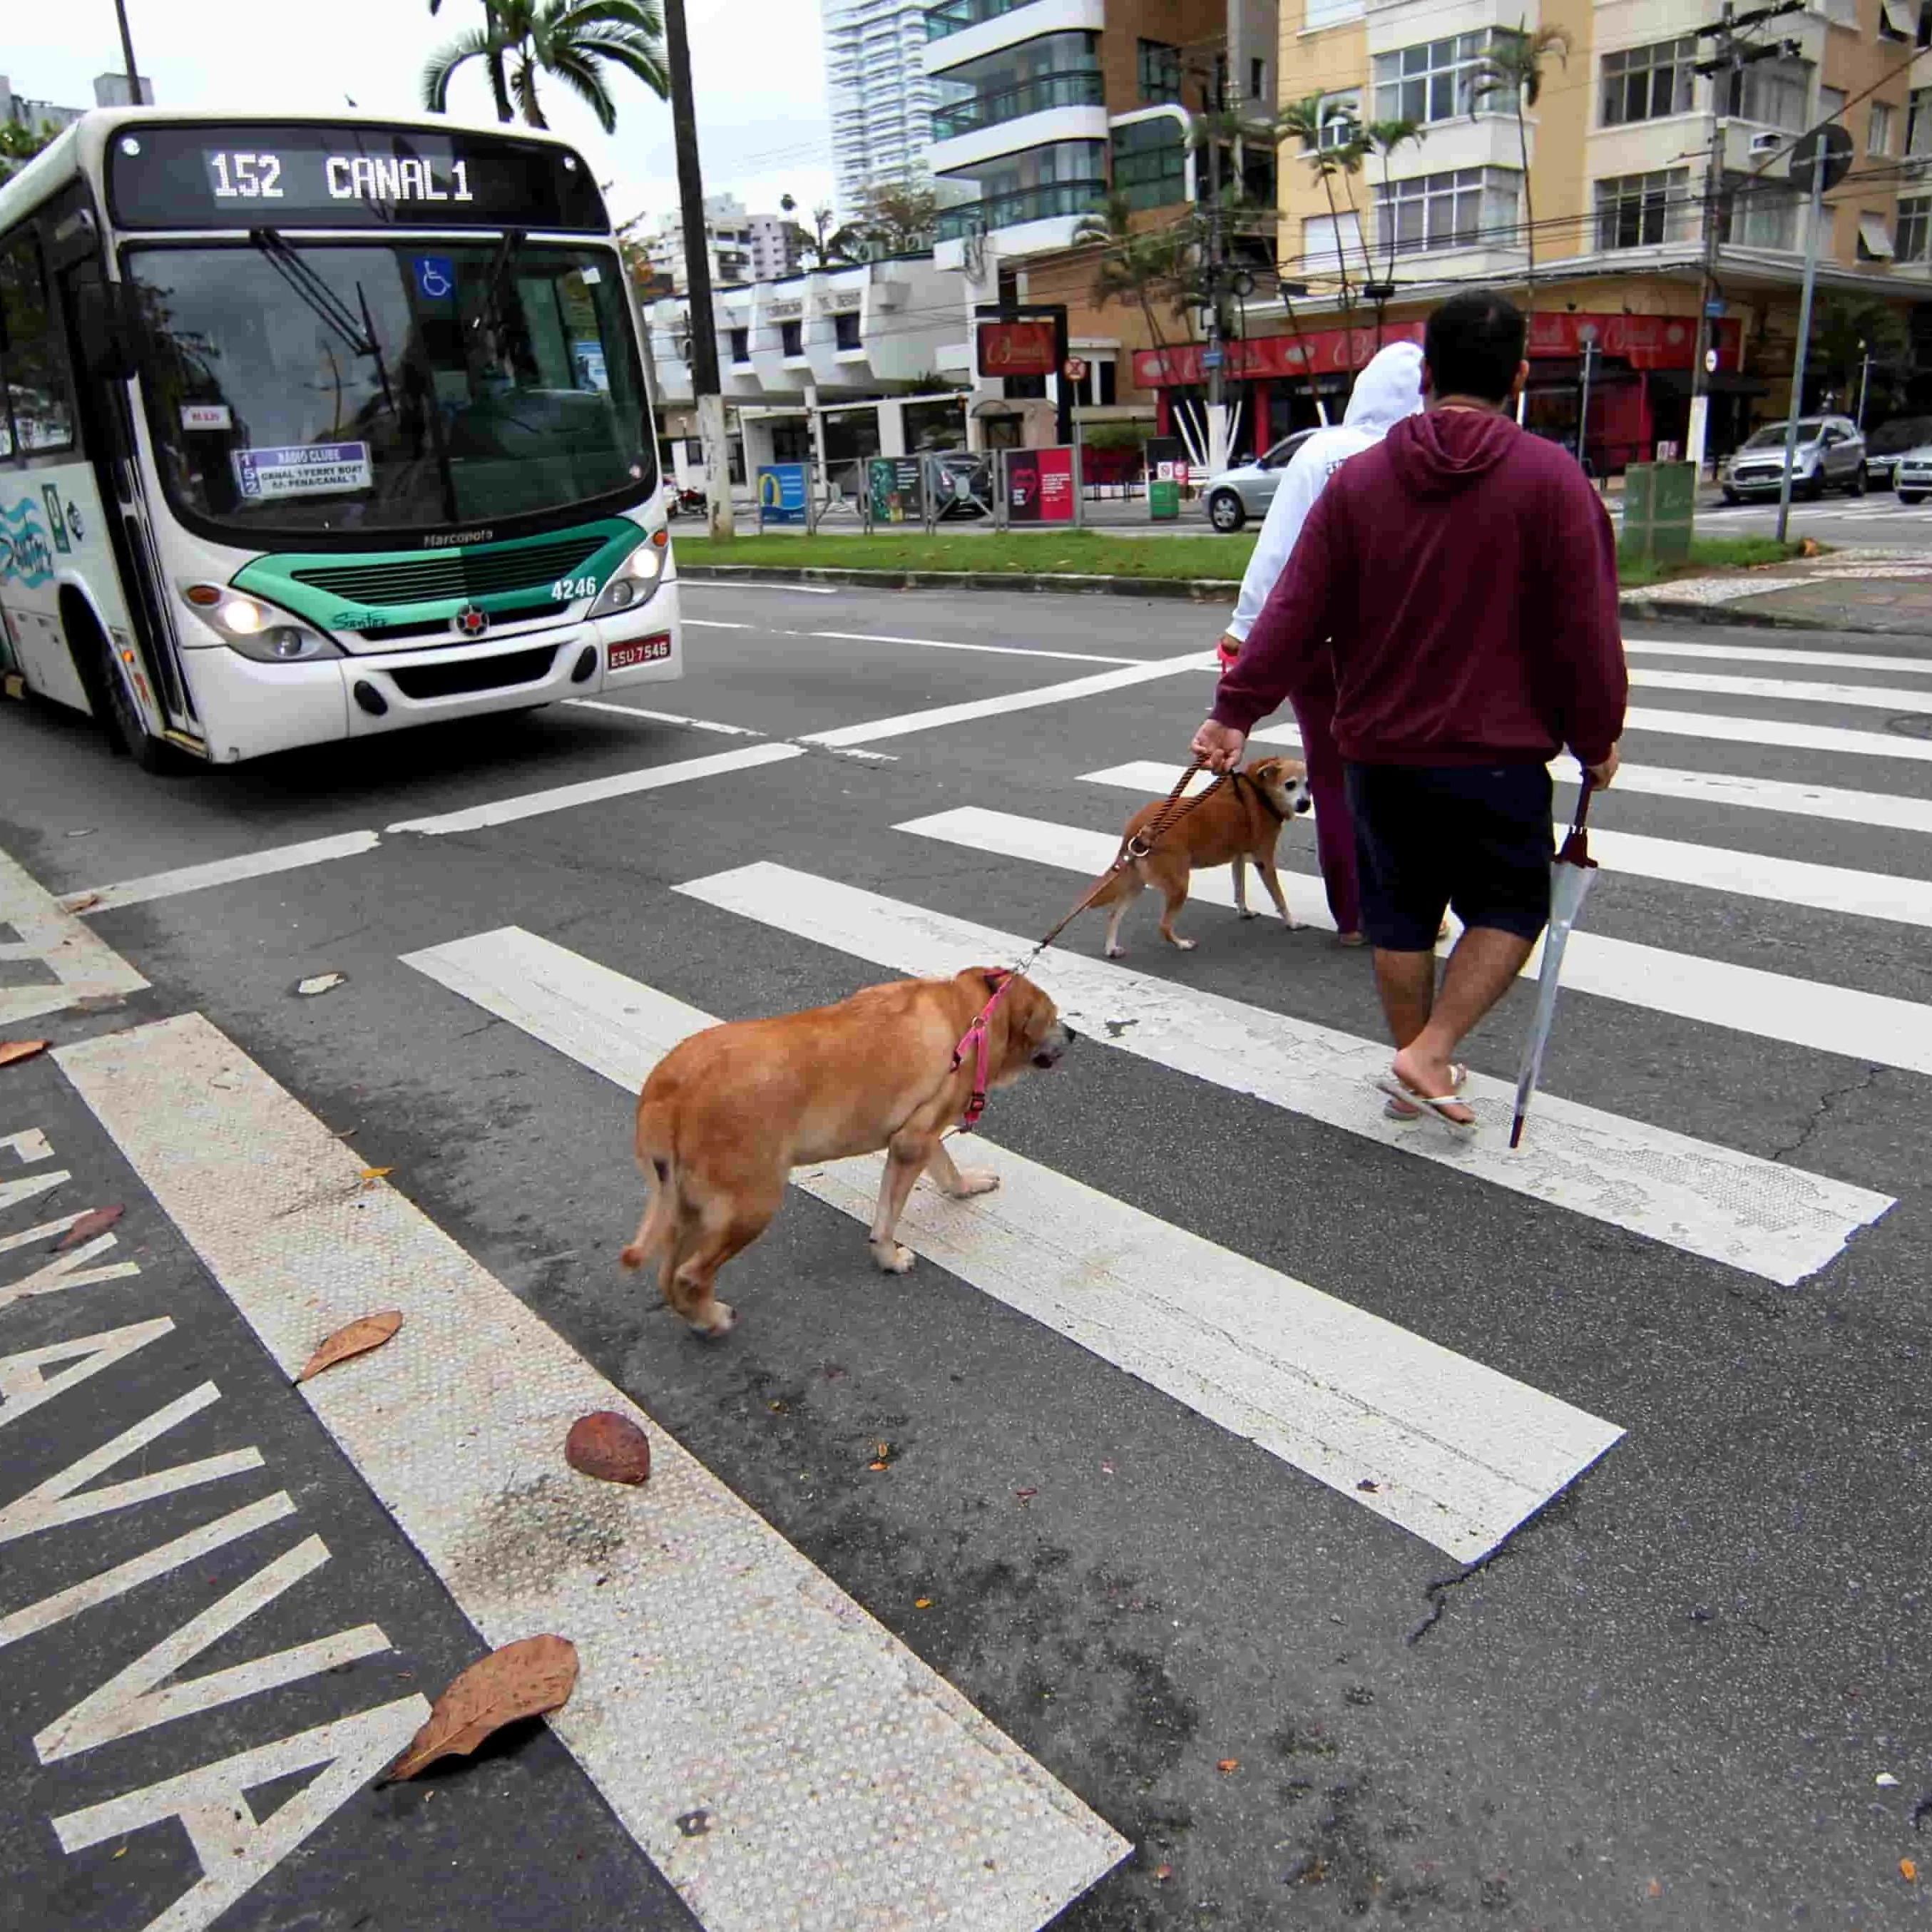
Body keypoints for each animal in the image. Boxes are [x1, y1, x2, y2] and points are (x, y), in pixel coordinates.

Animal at [620, 969, 1073, 1336]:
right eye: (1053, 1016)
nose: (1072, 1034)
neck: (974, 1010)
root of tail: (667, 1089)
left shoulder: (923, 1134)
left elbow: (947, 1170)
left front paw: (968, 1185)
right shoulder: (911, 1142)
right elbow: (888, 1218)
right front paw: (889, 1258)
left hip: (687, 1207)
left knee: (668, 1275)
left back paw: (699, 1318)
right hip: (750, 1205)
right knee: (689, 1276)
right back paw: (712, 1319)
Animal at [1087, 755, 1312, 957]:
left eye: (1309, 785)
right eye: (1290, 785)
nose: (1306, 804)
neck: (1260, 791)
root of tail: (1139, 829)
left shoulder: (1238, 857)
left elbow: (1239, 889)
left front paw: (1244, 911)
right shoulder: (1265, 861)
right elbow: (1279, 898)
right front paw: (1292, 923)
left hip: (1137, 882)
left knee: (1114, 914)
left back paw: (1111, 948)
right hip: (1178, 884)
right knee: (1164, 925)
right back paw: (1182, 943)